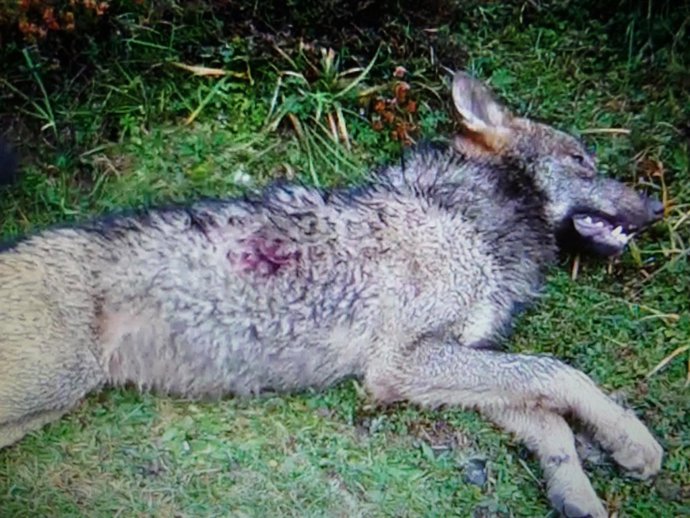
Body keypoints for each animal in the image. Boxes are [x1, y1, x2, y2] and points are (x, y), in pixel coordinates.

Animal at [0, 71, 665, 517]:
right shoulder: (401, 364)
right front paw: (634, 440)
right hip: (51, 385)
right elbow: (560, 373)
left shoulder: (450, 361)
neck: (464, 216)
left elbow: (548, 417)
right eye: (582, 159)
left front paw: (578, 493)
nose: (658, 206)